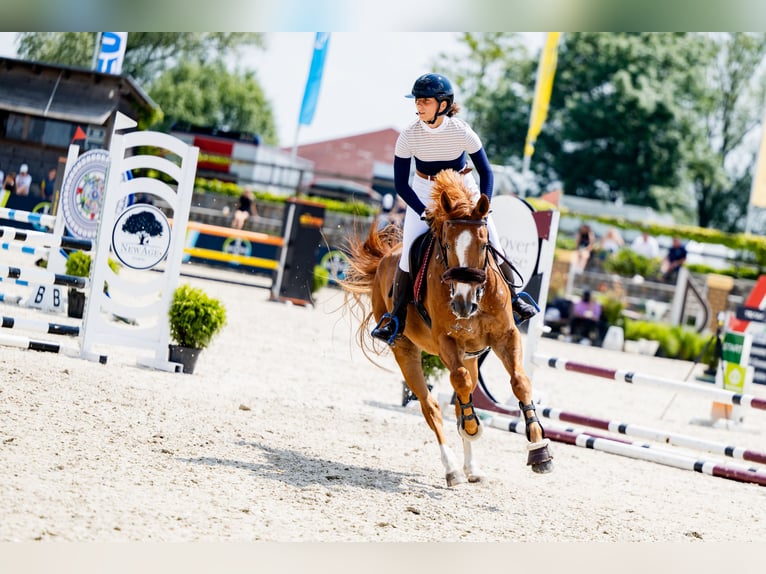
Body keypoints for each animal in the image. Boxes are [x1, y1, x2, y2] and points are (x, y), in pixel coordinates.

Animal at [344, 170, 556, 486]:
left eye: (484, 245)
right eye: (445, 245)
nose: (463, 305)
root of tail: (384, 258)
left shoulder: (506, 336)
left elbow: (519, 381)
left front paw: (539, 449)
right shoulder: (445, 341)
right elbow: (460, 385)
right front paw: (472, 427)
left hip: (470, 356)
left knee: (458, 398)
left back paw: (472, 468)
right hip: (406, 349)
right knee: (430, 405)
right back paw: (453, 468)